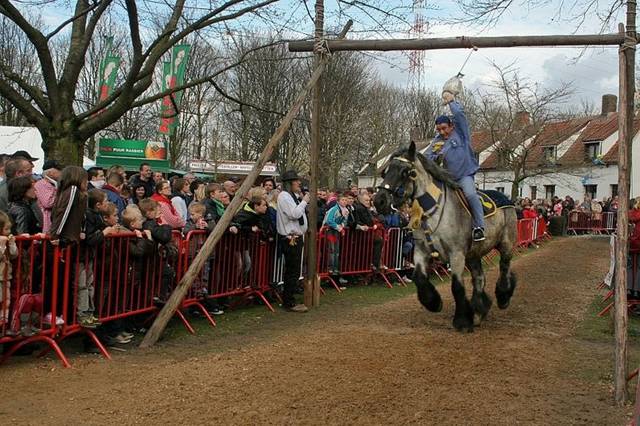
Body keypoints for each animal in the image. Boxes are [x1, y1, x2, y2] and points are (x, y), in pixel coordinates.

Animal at [372, 143, 516, 332]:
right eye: (385, 172)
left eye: (405, 171)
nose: (379, 201)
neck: (433, 212)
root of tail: (507, 199)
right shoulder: (421, 251)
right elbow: (419, 277)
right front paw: (434, 303)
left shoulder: (456, 254)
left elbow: (457, 286)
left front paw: (462, 321)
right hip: (473, 254)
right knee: (479, 278)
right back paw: (479, 311)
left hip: (506, 244)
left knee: (504, 268)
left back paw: (503, 297)